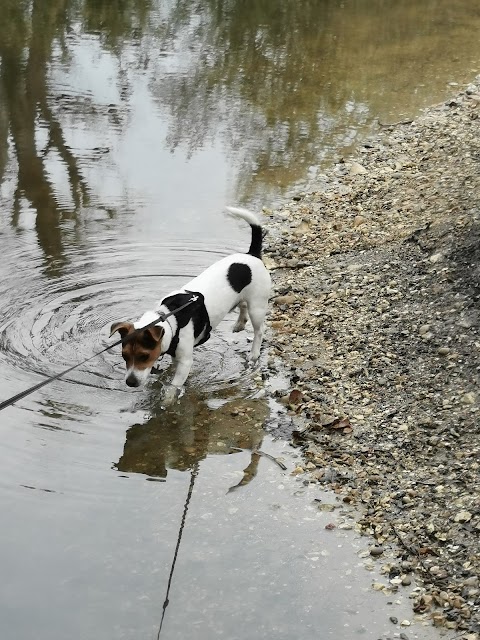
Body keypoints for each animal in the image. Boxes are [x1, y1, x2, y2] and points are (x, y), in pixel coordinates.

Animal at [110, 208, 272, 402]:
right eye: (124, 356)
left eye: (144, 356)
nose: (130, 382)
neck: (171, 317)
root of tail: (251, 254)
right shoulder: (175, 356)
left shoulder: (185, 361)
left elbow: (174, 385)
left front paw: (167, 400)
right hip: (243, 297)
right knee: (242, 306)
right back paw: (240, 323)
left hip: (258, 305)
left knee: (259, 330)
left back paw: (254, 353)